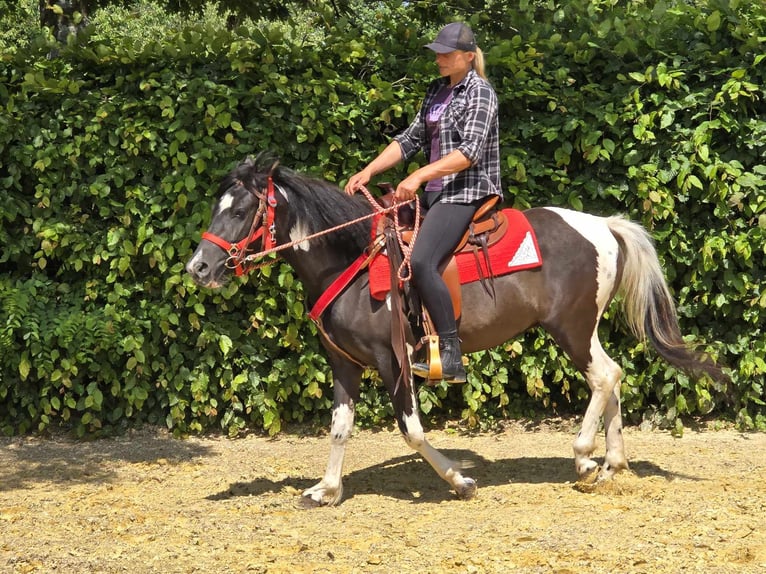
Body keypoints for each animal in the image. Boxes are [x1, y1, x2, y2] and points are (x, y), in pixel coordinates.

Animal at [186, 153, 725, 506]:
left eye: (240, 211)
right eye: (215, 206)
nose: (198, 268)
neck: (353, 262)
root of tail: (604, 227)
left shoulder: (392, 362)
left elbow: (411, 431)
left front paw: (460, 481)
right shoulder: (345, 363)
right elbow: (339, 427)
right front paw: (327, 489)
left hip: (570, 330)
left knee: (603, 378)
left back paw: (585, 458)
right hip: (583, 330)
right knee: (612, 375)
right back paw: (612, 463)